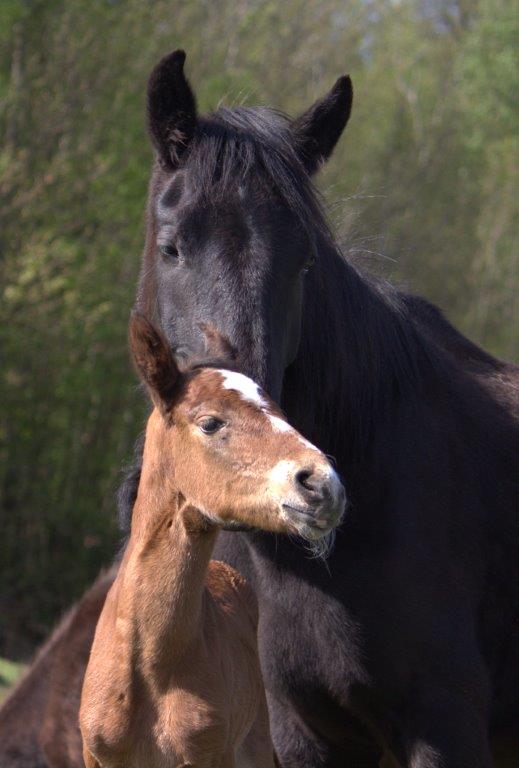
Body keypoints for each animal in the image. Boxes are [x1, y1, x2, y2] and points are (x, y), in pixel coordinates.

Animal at [80, 314, 346, 768]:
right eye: (210, 422)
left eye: (281, 412)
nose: (323, 485)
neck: (148, 670)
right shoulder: (94, 755)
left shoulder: (212, 753)